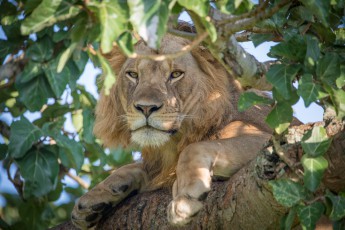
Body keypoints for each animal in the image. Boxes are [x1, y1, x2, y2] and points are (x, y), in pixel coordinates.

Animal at [71, 31, 272, 228]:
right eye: (133, 75)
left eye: (176, 74)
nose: (146, 108)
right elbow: (135, 167)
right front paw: (93, 198)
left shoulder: (266, 138)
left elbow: (193, 149)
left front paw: (185, 199)